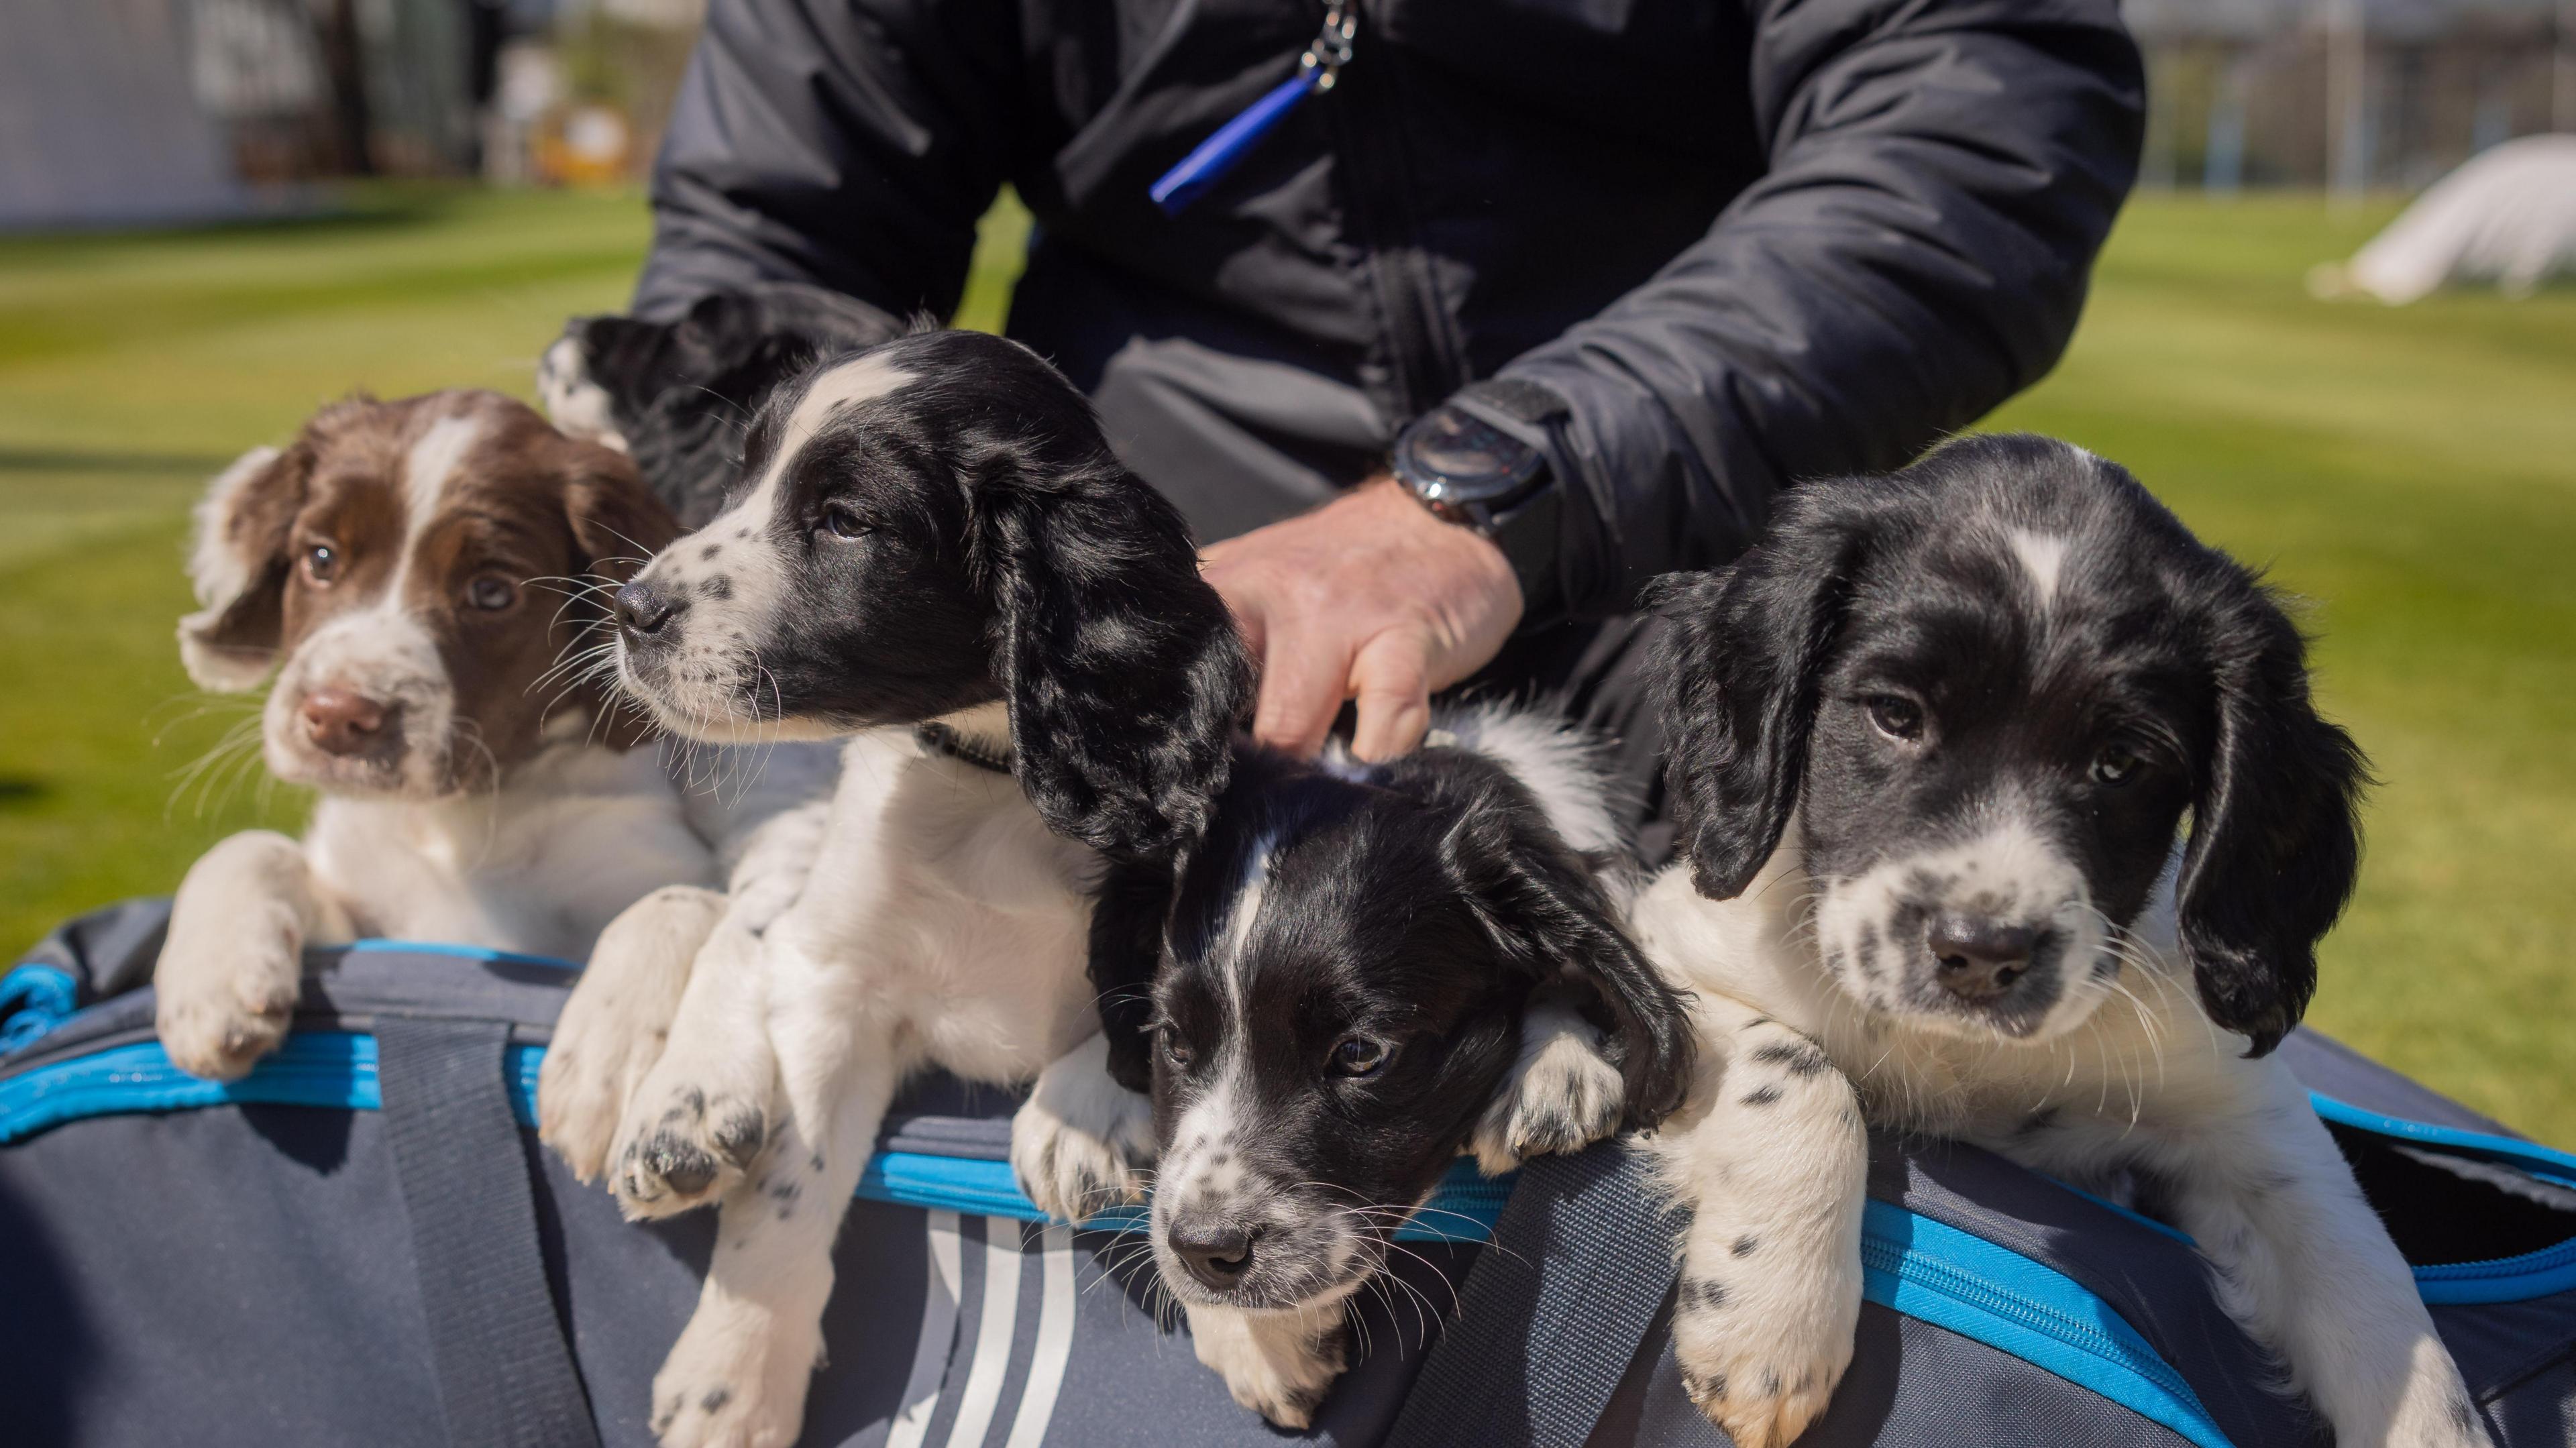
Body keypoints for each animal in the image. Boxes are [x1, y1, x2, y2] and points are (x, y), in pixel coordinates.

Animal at [154, 389, 757, 1076]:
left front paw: (607, 1048)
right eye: (320, 559)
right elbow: (251, 845)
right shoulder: (372, 930)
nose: (336, 716)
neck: (453, 820)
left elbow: (690, 897)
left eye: (491, 592)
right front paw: (209, 986)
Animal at [533, 327, 1246, 1443]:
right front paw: (729, 1378)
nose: (630, 610)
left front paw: (1084, 1111)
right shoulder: (840, 991)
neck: (989, 783)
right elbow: (788, 1188)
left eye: (844, 519)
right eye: (740, 478)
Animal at [1627, 430, 2493, 1443]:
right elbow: (1799, 1070)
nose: (1982, 952)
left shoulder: (2246, 1117)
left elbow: (2378, 1293)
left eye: (2121, 762)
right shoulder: (1661, 953)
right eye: (1894, 713)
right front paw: (1775, 1319)